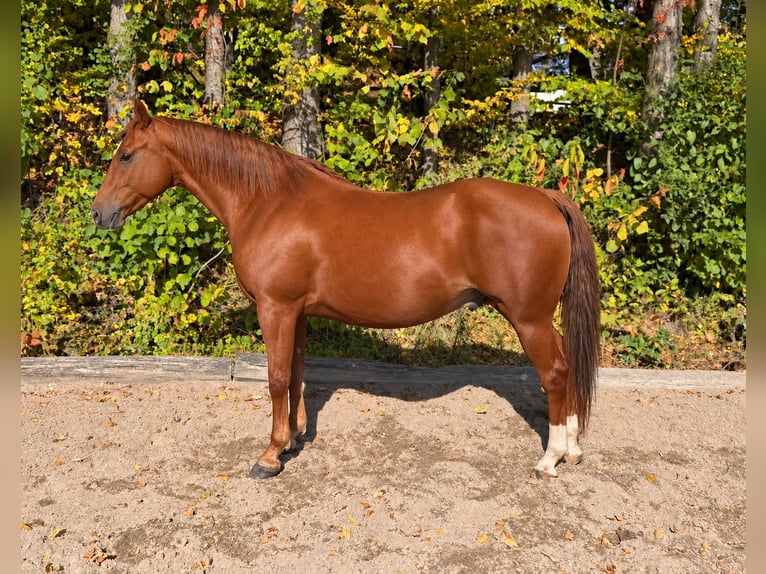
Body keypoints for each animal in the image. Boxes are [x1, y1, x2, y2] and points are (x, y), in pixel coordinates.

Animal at [92, 98, 600, 480]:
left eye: (126, 155)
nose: (99, 213)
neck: (267, 202)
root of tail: (547, 197)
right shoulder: (297, 313)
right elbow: (297, 374)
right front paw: (293, 439)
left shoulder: (275, 309)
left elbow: (276, 379)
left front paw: (269, 456)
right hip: (539, 319)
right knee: (569, 364)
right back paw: (574, 449)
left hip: (528, 319)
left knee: (556, 373)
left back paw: (551, 458)